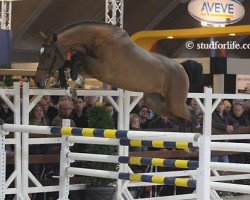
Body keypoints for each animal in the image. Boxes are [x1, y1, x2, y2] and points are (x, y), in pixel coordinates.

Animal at [33, 21, 197, 122]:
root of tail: (181, 68)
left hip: (175, 103)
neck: (96, 39)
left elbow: (76, 57)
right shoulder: (91, 69)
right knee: (176, 116)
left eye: (48, 55)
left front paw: (73, 78)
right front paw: (70, 87)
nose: (38, 81)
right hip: (154, 101)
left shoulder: (102, 69)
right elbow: (67, 63)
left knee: (188, 116)